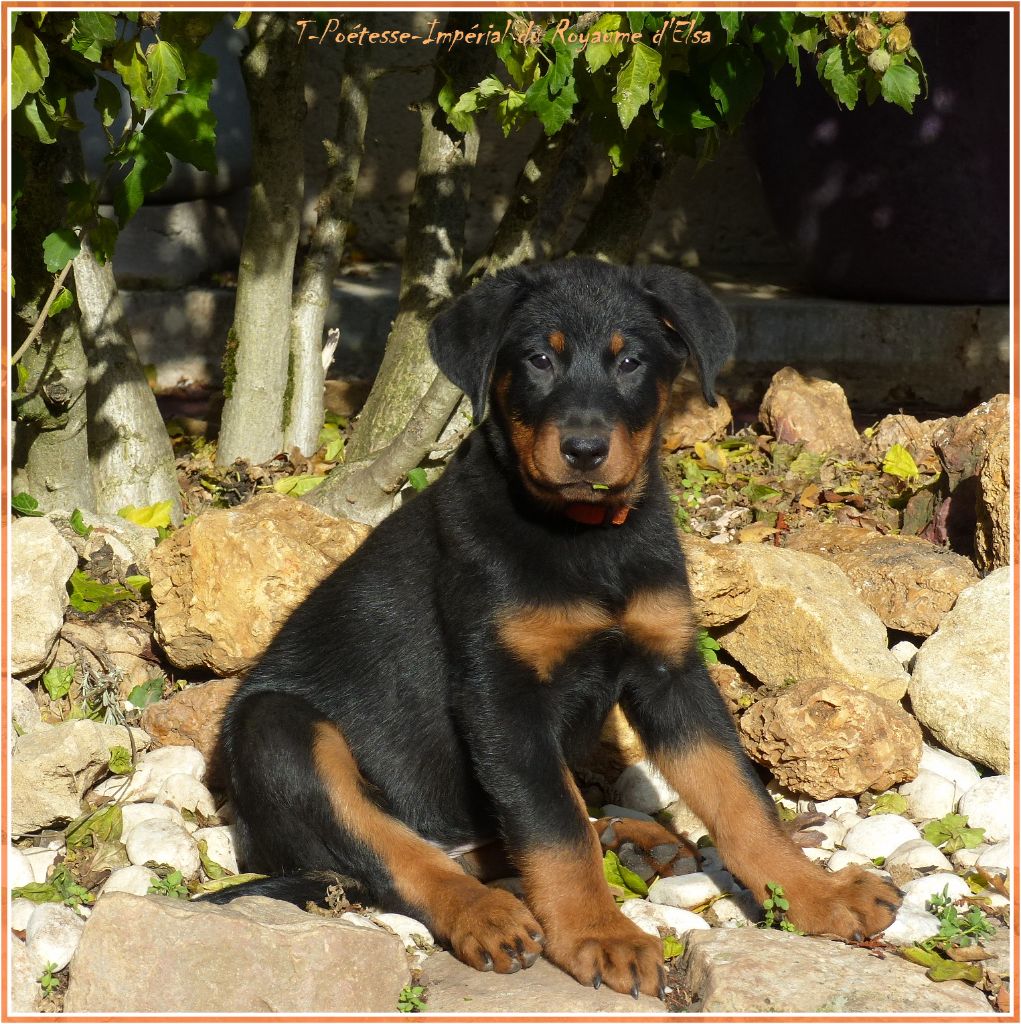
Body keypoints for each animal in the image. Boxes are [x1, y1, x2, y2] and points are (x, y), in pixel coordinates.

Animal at [211, 259, 901, 999]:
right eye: (539, 359)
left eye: (630, 360)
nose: (584, 450)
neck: (584, 538)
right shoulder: (500, 696)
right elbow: (554, 828)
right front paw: (599, 935)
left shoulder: (670, 672)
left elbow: (740, 797)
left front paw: (816, 895)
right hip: (276, 728)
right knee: (392, 856)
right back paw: (487, 913)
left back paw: (625, 839)